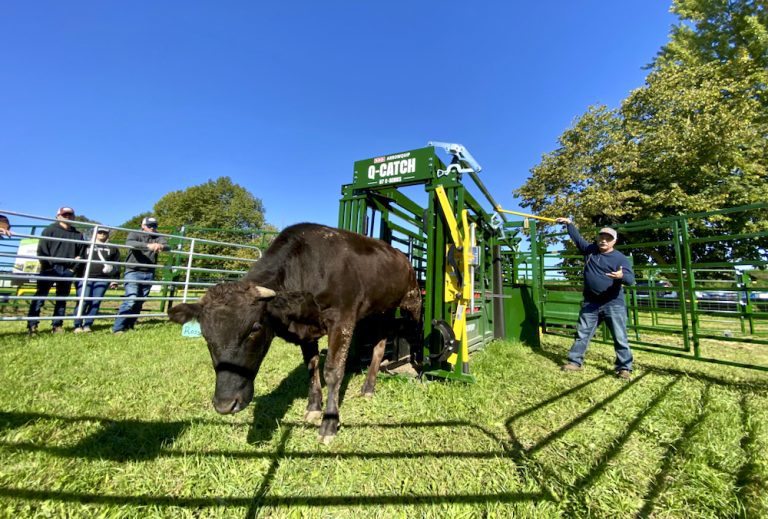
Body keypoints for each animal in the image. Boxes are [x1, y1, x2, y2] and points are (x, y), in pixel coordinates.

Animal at [168, 223, 422, 443]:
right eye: (205, 335)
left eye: (255, 328)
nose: (225, 404)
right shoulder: (306, 332)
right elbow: (312, 367)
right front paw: (313, 408)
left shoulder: (342, 320)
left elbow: (332, 371)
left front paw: (329, 424)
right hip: (379, 311)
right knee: (380, 343)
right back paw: (368, 387)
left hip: (412, 300)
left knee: (413, 331)